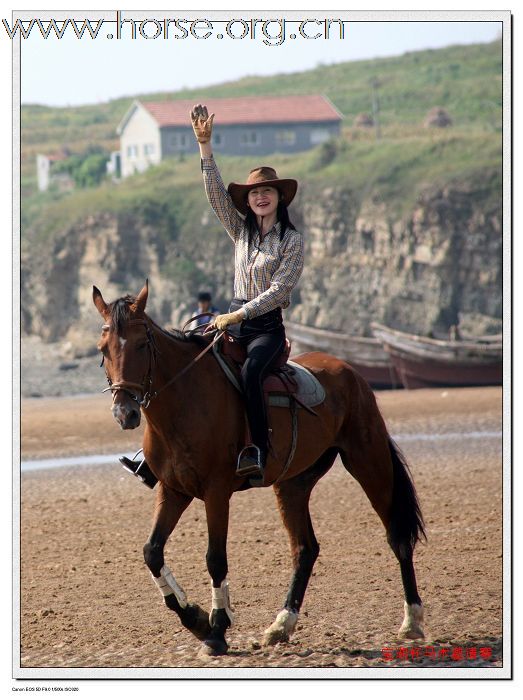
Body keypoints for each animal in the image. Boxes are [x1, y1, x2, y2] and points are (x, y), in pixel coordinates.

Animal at [93, 280, 426, 656]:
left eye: (141, 344)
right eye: (103, 349)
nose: (125, 413)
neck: (184, 401)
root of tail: (350, 372)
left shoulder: (216, 492)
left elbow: (215, 558)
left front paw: (216, 629)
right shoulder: (174, 490)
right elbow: (152, 552)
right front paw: (194, 618)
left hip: (369, 462)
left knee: (397, 536)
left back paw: (412, 621)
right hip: (293, 484)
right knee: (305, 549)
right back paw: (282, 624)